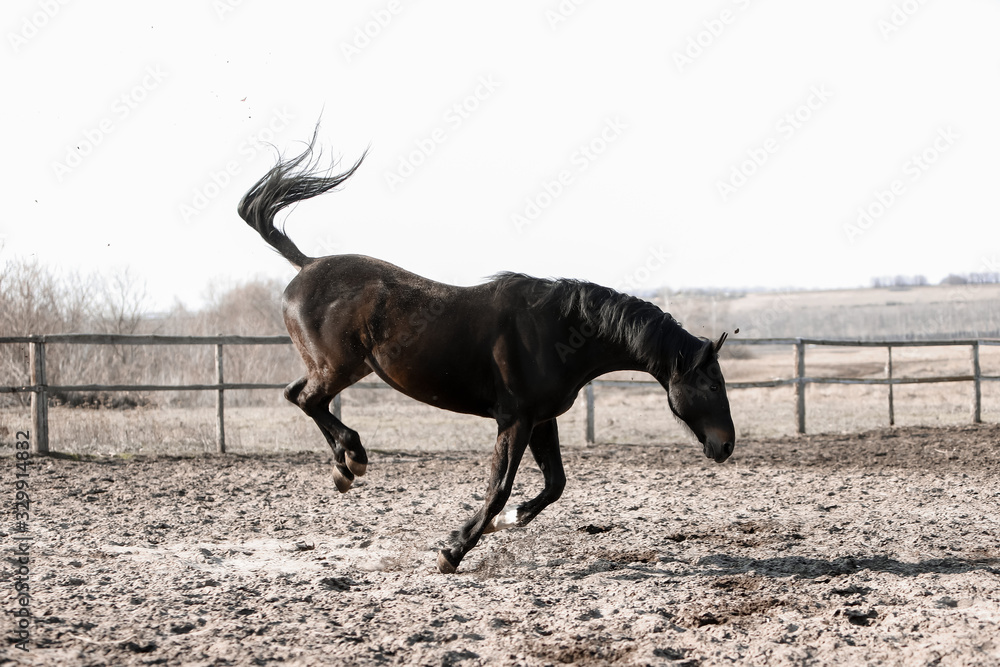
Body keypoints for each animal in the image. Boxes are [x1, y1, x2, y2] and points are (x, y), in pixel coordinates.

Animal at [237, 131, 736, 574]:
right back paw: (353, 459)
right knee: (306, 399)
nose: (726, 445)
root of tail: (305, 265)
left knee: (301, 396)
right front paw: (453, 551)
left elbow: (554, 484)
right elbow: (499, 487)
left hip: (339, 367)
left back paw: (344, 468)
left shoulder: (540, 419)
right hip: (340, 367)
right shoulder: (513, 419)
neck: (559, 331)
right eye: (713, 384)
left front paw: (506, 523)